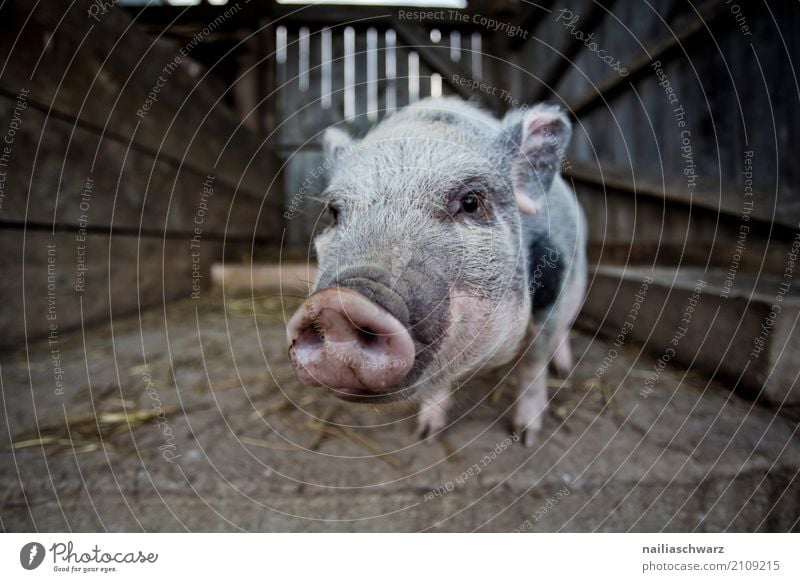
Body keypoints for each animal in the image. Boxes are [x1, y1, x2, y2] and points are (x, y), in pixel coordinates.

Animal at [288, 97, 588, 448]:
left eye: (471, 202)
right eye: (334, 212)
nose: (339, 303)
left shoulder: (552, 292)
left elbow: (532, 363)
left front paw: (526, 436)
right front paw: (426, 434)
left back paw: (563, 370)